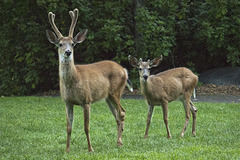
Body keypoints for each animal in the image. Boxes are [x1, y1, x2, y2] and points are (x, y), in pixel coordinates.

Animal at [45, 8, 132, 152]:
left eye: (73, 44)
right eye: (60, 44)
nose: (68, 52)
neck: (72, 81)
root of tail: (124, 69)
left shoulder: (86, 100)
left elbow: (86, 127)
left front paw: (91, 149)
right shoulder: (67, 102)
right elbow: (68, 127)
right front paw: (67, 150)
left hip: (116, 91)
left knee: (122, 112)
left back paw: (120, 142)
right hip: (108, 97)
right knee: (117, 115)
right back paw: (118, 142)